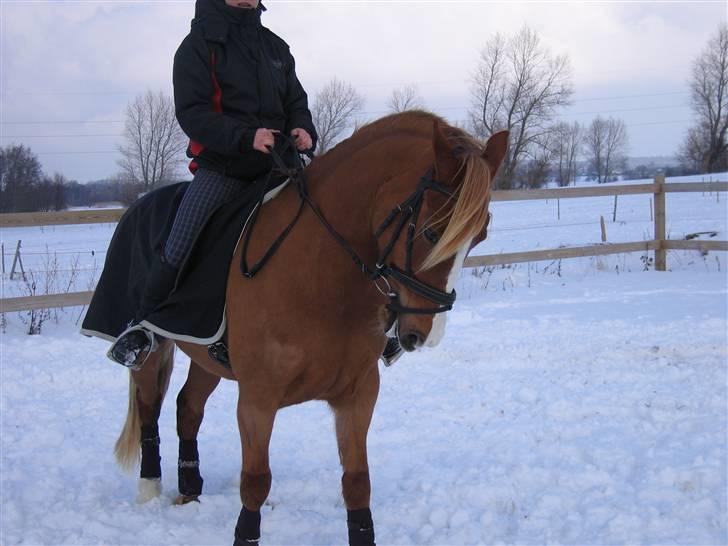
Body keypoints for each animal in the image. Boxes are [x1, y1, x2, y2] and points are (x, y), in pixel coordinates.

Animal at [114, 111, 506, 544]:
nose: (425, 335)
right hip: (151, 352)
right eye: (431, 231)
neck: (319, 275)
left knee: (188, 407)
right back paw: (150, 487)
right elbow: (255, 482)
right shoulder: (258, 398)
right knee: (150, 407)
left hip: (206, 358)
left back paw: (190, 490)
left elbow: (357, 483)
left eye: (479, 237)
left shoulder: (358, 393)